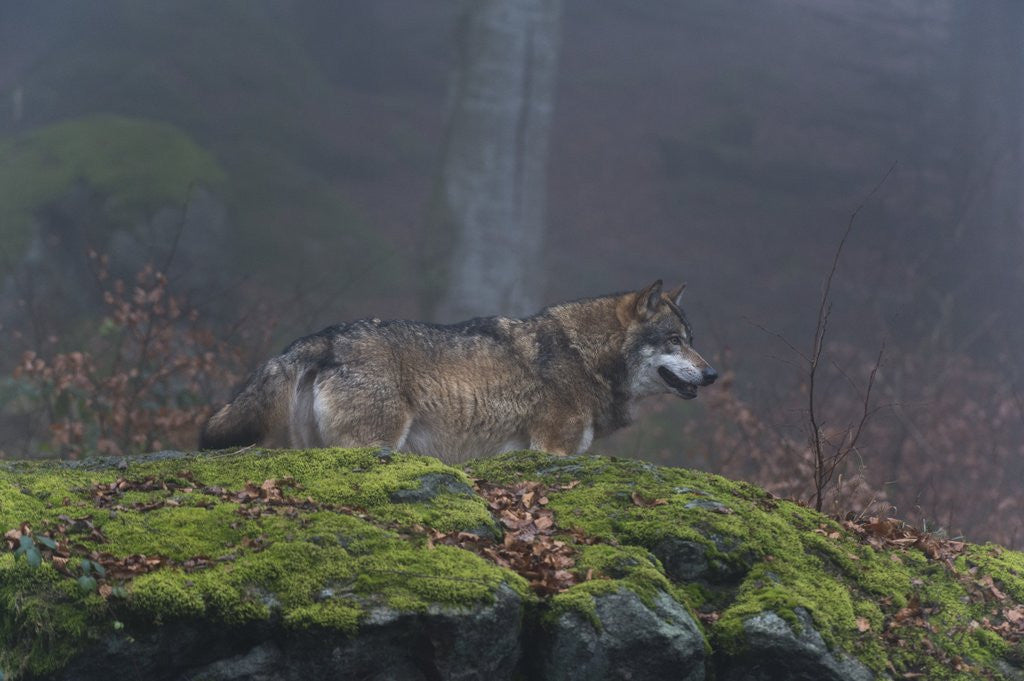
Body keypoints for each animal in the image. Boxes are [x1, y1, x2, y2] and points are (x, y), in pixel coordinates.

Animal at [199, 280, 717, 464]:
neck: (583, 354)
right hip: (375, 442)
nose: (712, 375)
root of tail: (326, 336)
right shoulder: (552, 450)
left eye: (692, 339)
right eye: (674, 341)